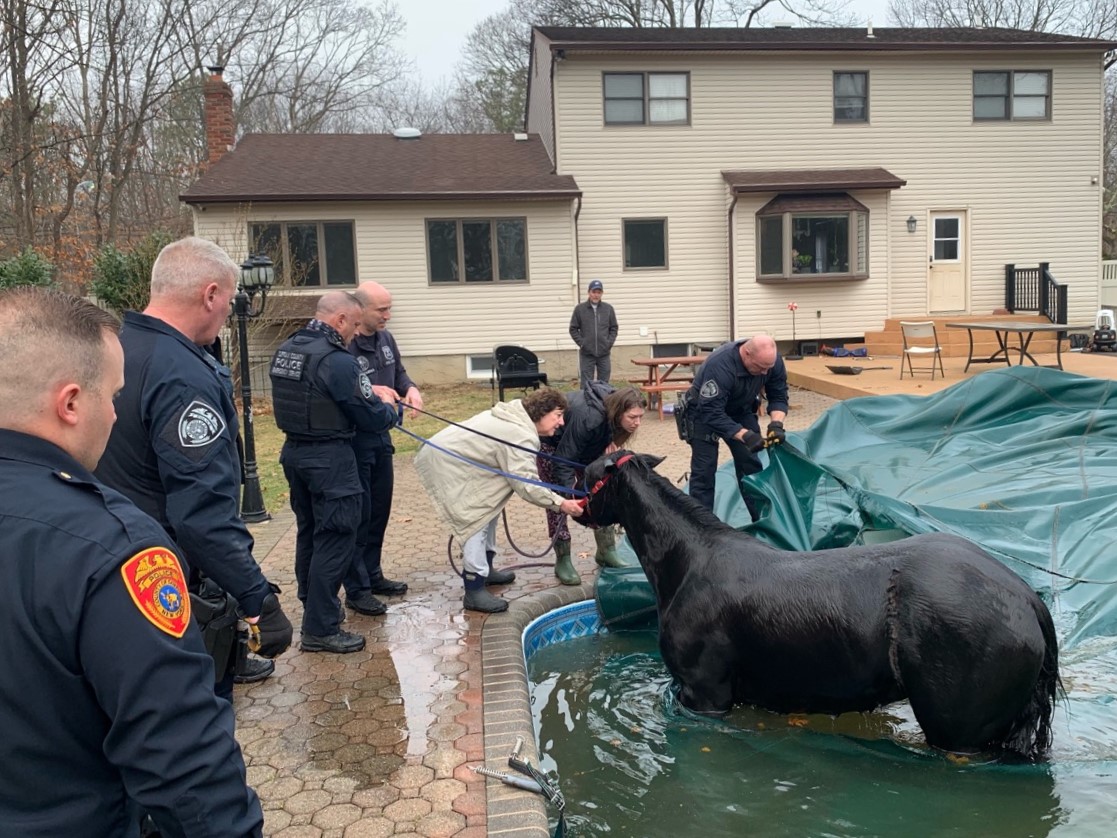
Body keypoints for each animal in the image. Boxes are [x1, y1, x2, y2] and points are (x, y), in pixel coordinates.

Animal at [580, 453, 1058, 759]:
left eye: (588, 478)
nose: (577, 507)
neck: (691, 562)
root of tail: (1025, 596)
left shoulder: (704, 695)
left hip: (957, 734)